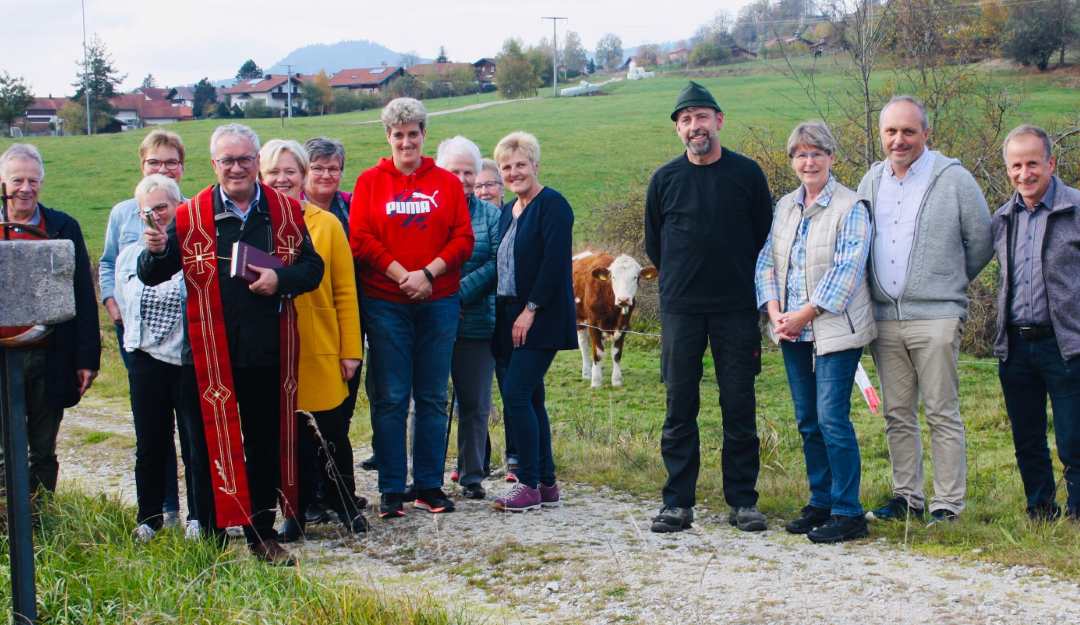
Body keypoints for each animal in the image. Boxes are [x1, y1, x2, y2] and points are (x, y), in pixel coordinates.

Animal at [574, 249, 656, 386]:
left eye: (635, 277)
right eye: (613, 277)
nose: (623, 299)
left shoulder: (624, 324)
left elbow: (616, 353)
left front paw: (617, 380)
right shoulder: (593, 322)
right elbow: (597, 353)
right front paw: (596, 381)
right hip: (579, 318)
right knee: (584, 344)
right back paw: (587, 373)